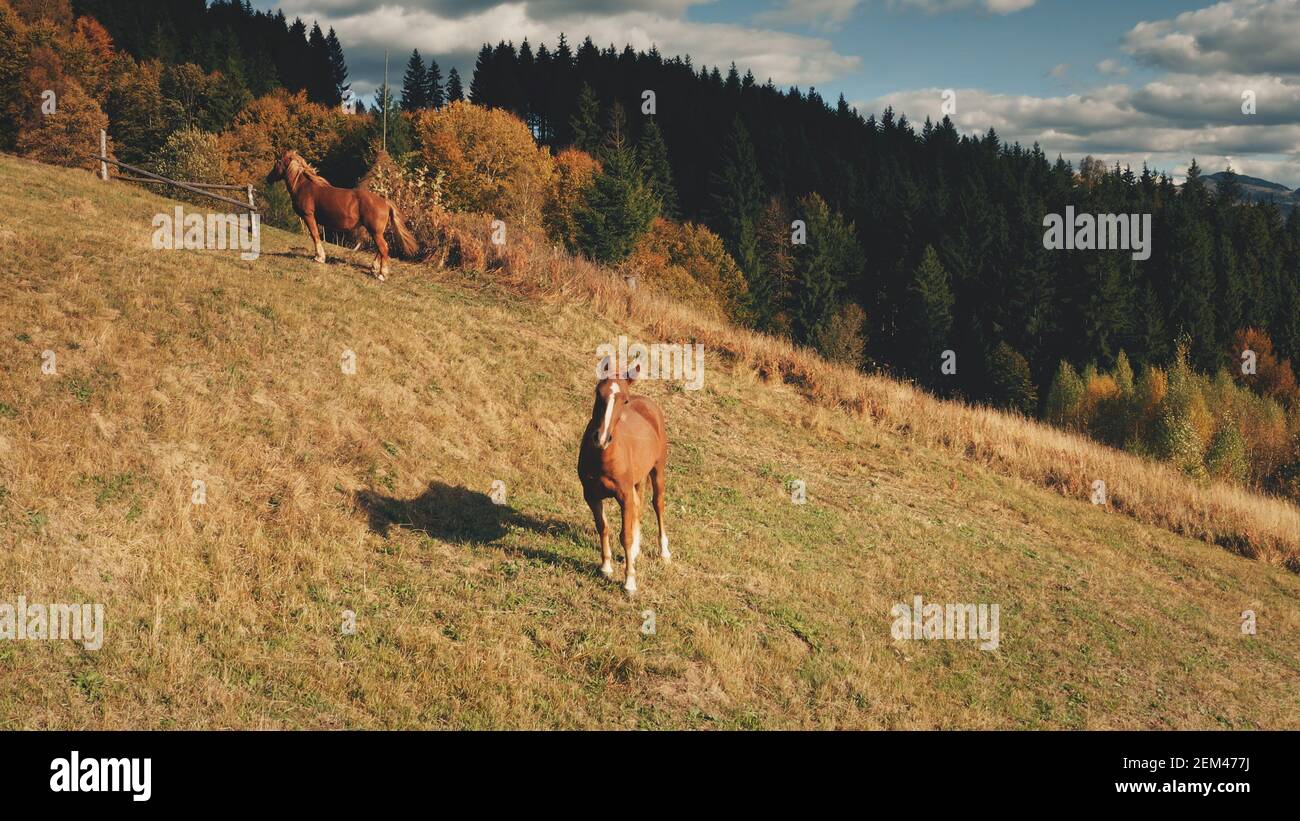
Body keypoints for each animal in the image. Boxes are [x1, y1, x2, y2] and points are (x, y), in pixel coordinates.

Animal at [265, 150, 417, 281]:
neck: (305, 186)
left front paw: (319, 257)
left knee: (384, 248)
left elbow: (315, 235)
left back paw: (381, 274)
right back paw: (374, 268)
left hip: (375, 231)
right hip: (376, 231)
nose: (268, 178)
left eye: (278, 161)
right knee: (381, 248)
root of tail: (385, 201)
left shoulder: (309, 216)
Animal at [577, 358, 670, 595]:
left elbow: (624, 536)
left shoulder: (624, 496)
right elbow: (603, 527)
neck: (604, 457)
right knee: (639, 506)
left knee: (657, 504)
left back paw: (664, 552)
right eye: (598, 392)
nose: (601, 438)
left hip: (657, 470)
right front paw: (606, 566)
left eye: (624, 400)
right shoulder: (591, 495)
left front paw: (629, 582)